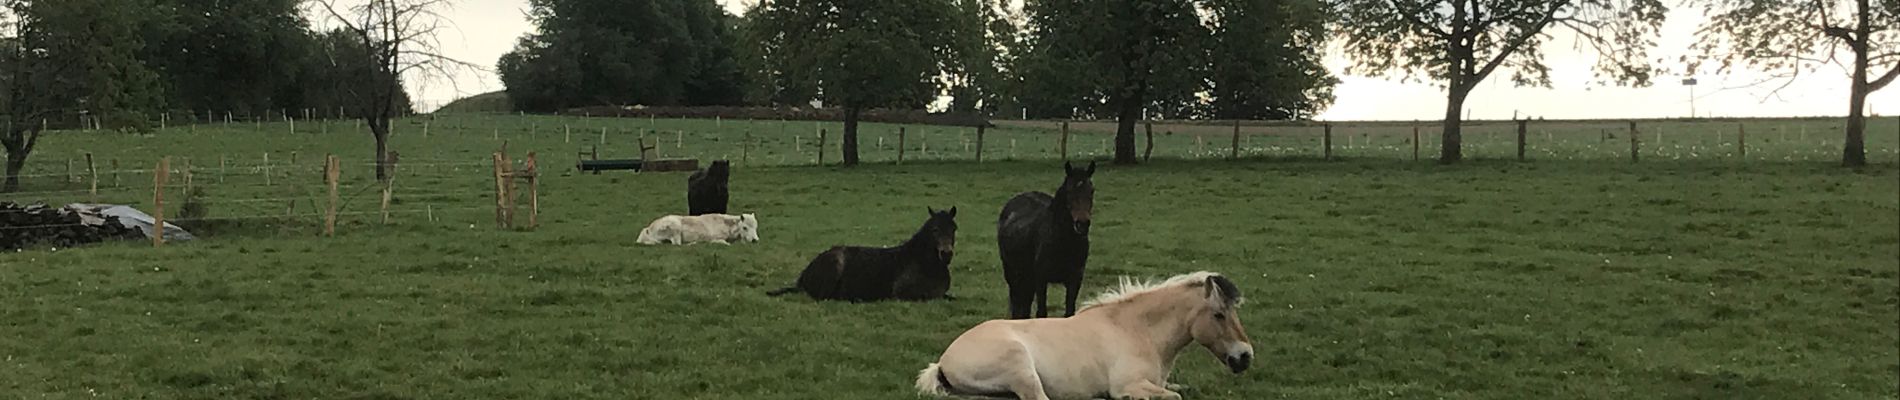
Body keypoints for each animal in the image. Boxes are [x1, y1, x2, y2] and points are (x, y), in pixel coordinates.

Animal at [763, 207, 957, 301]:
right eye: (935, 229)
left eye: (954, 229)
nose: (946, 254)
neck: (922, 262)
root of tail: (804, 275)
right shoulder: (903, 294)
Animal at [915, 271, 1254, 398]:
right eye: (1219, 314)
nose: (1245, 357)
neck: (1136, 331)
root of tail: (943, 363)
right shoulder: (1128, 387)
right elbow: (1175, 396)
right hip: (1020, 367)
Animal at [995, 160, 1102, 318]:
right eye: (1069, 191)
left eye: (1091, 190)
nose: (1082, 224)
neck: (1063, 241)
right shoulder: (1041, 280)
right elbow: (1041, 312)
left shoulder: (1075, 280)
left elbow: (1069, 312)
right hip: (1012, 273)